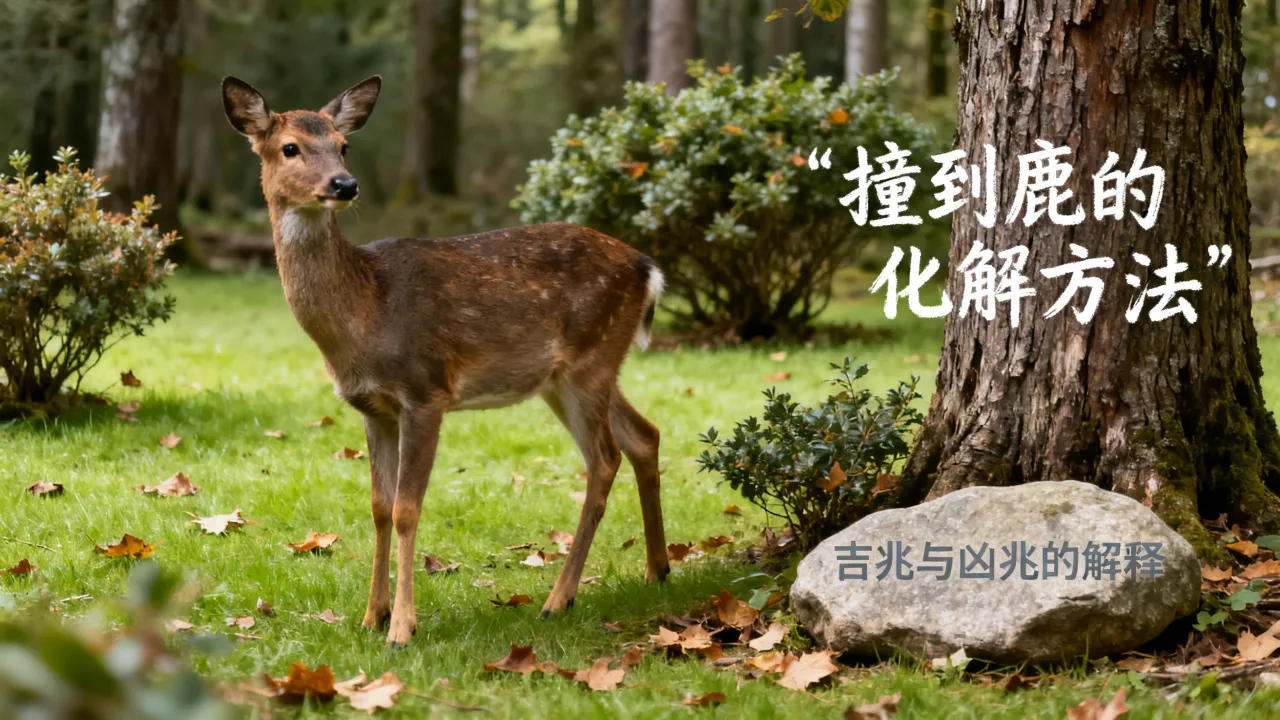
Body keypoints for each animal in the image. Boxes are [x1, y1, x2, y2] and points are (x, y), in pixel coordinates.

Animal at [221, 75, 670, 648]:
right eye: (290, 147)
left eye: (344, 146)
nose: (345, 185)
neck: (366, 313)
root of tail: (647, 268)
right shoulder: (373, 408)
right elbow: (379, 508)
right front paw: (370, 617)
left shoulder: (426, 389)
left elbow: (407, 509)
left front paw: (402, 628)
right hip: (578, 371)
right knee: (644, 435)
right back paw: (657, 570)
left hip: (589, 359)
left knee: (604, 458)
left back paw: (558, 599)